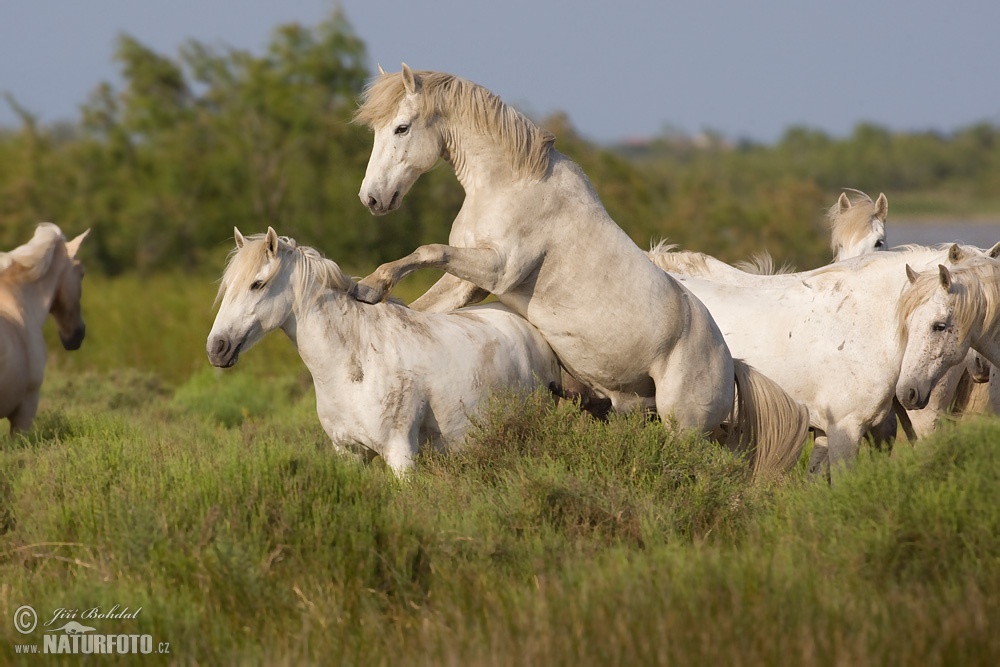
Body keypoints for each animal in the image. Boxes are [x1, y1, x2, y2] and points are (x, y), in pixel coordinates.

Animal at [205, 228, 564, 474]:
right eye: (228, 286)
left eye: (258, 284)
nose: (217, 348)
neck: (354, 360)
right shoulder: (348, 454)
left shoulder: (400, 455)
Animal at [348, 64, 808, 480]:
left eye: (401, 128)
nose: (372, 199)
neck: (511, 184)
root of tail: (730, 362)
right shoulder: (467, 283)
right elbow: (426, 299)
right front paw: (372, 295)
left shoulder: (498, 269)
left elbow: (428, 250)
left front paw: (368, 288)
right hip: (637, 410)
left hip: (684, 427)